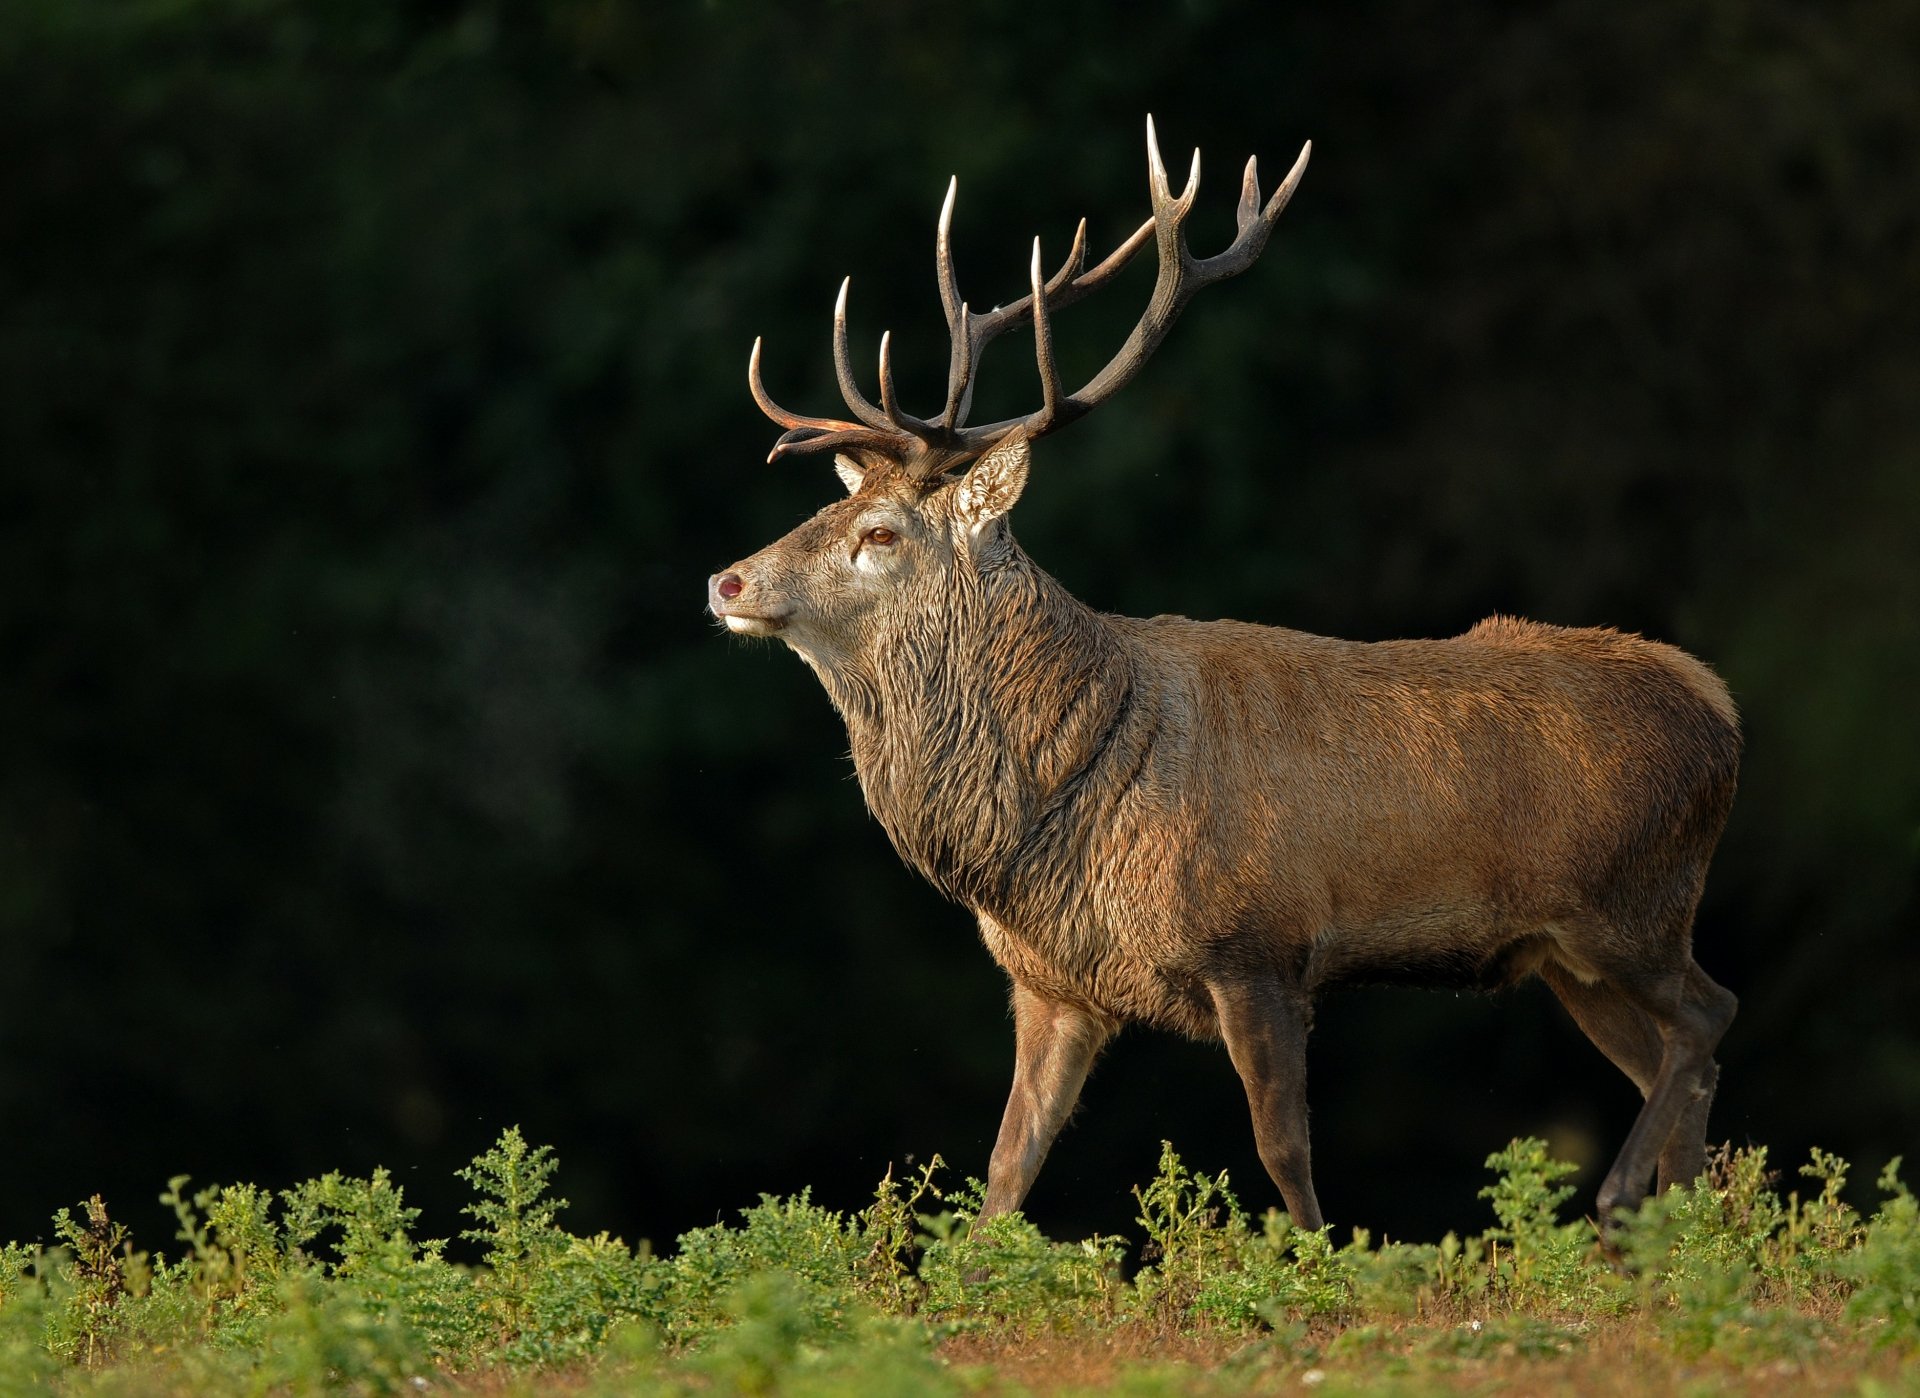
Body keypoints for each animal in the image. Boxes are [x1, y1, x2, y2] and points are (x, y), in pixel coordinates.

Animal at [707, 118, 1740, 1244]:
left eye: (882, 533)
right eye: (825, 509)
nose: (728, 579)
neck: (1058, 810)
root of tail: (1720, 708)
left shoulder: (1258, 946)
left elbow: (1284, 1154)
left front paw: (1317, 1264)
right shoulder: (1052, 984)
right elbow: (1005, 1173)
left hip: (1633, 901)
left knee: (1710, 1019)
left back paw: (1625, 1201)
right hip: (1568, 951)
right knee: (1680, 1067)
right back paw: (1687, 1235)